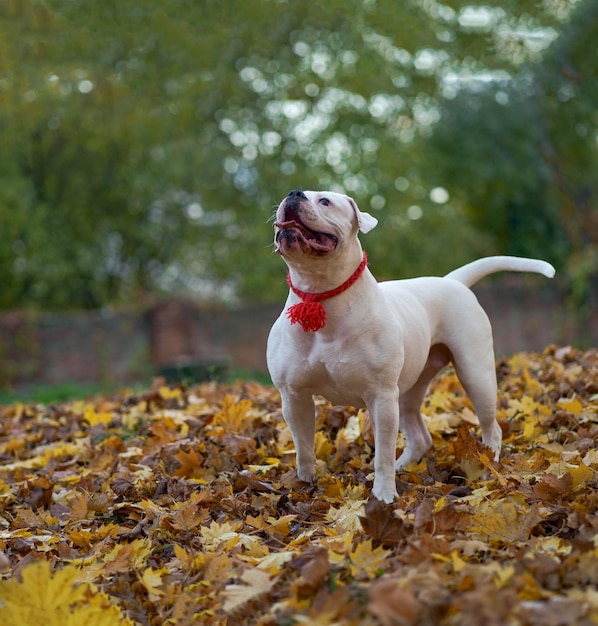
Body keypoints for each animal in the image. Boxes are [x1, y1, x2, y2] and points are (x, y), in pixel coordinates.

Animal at [268, 188, 556, 500]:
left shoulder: (381, 397)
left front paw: (383, 495)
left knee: (491, 425)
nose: (293, 193)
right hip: (408, 388)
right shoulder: (293, 396)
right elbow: (303, 445)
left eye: (325, 201)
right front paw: (303, 483)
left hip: (475, 375)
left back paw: (487, 463)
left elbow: (382, 453)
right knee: (419, 437)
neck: (319, 295)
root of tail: (452, 281)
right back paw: (404, 466)